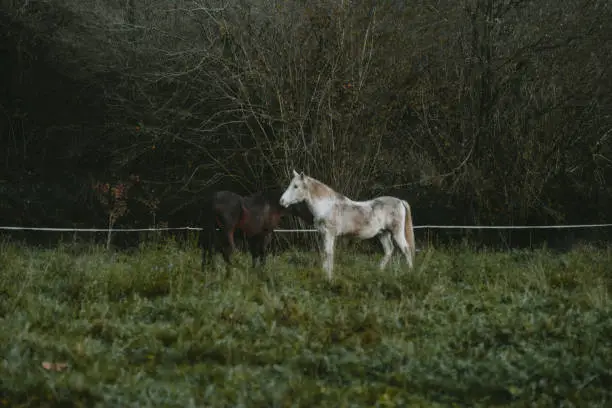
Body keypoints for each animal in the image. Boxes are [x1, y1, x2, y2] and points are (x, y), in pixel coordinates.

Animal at [278, 170, 416, 280]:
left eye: (296, 186)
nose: (282, 201)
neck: (327, 206)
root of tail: (400, 201)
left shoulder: (329, 234)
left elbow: (329, 253)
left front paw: (329, 277)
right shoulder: (323, 234)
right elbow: (325, 253)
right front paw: (324, 274)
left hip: (397, 232)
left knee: (406, 249)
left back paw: (409, 273)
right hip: (383, 233)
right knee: (389, 250)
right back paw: (378, 272)